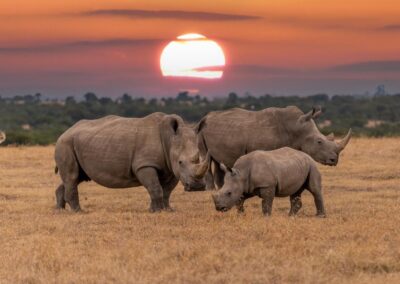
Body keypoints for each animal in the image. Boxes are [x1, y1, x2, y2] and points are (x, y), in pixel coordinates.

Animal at [55, 112, 211, 212]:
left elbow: (167, 191)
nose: (197, 187)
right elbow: (155, 187)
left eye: (200, 158)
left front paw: (167, 210)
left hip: (77, 143)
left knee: (77, 177)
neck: (170, 139)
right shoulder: (145, 165)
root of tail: (66, 131)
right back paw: (78, 212)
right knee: (72, 177)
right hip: (65, 144)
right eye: (180, 162)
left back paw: (59, 211)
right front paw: (156, 211)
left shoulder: (170, 168)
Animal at [196, 105, 350, 190]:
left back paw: (221, 187)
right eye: (319, 142)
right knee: (206, 157)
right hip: (200, 131)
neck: (296, 127)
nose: (334, 160)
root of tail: (205, 117)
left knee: (217, 159)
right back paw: (211, 190)